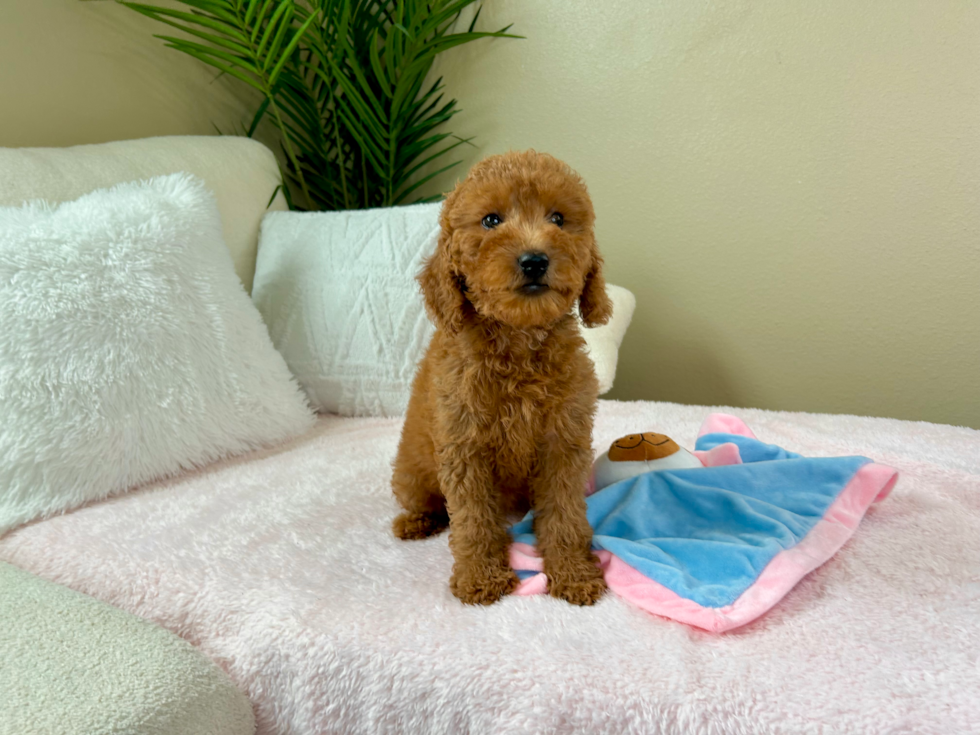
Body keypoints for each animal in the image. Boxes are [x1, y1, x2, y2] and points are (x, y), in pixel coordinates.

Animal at [392, 148, 612, 604]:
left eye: (558, 219)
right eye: (491, 220)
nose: (534, 260)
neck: (518, 342)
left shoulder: (563, 443)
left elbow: (564, 514)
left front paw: (573, 573)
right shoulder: (465, 447)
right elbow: (473, 520)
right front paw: (480, 577)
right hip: (410, 472)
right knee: (427, 502)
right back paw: (417, 522)